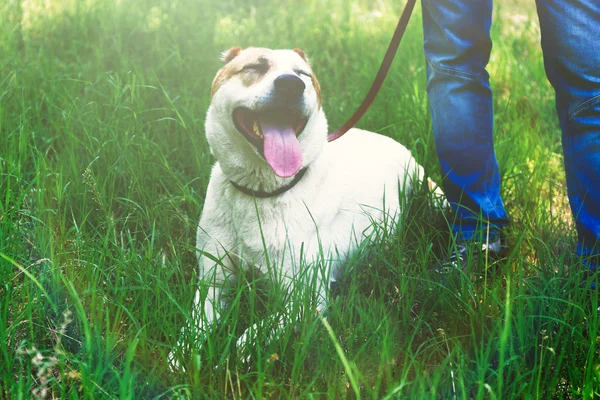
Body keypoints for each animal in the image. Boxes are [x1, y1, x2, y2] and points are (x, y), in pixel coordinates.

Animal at [171, 47, 442, 366]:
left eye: (303, 75)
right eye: (254, 67)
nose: (291, 85)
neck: (261, 193)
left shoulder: (307, 297)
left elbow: (252, 334)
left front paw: (231, 358)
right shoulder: (213, 283)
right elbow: (194, 324)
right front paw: (182, 356)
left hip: (429, 190)